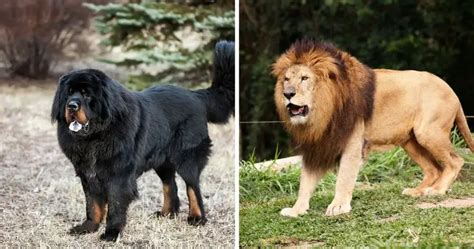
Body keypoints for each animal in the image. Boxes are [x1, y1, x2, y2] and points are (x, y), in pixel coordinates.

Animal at [272, 40, 472, 217]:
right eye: (286, 79)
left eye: (304, 78)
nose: (287, 94)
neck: (323, 112)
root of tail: (451, 90)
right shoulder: (318, 145)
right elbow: (305, 182)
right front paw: (296, 210)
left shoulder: (352, 142)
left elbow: (344, 177)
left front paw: (338, 206)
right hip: (410, 141)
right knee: (433, 169)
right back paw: (417, 191)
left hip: (428, 133)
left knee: (455, 161)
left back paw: (436, 190)